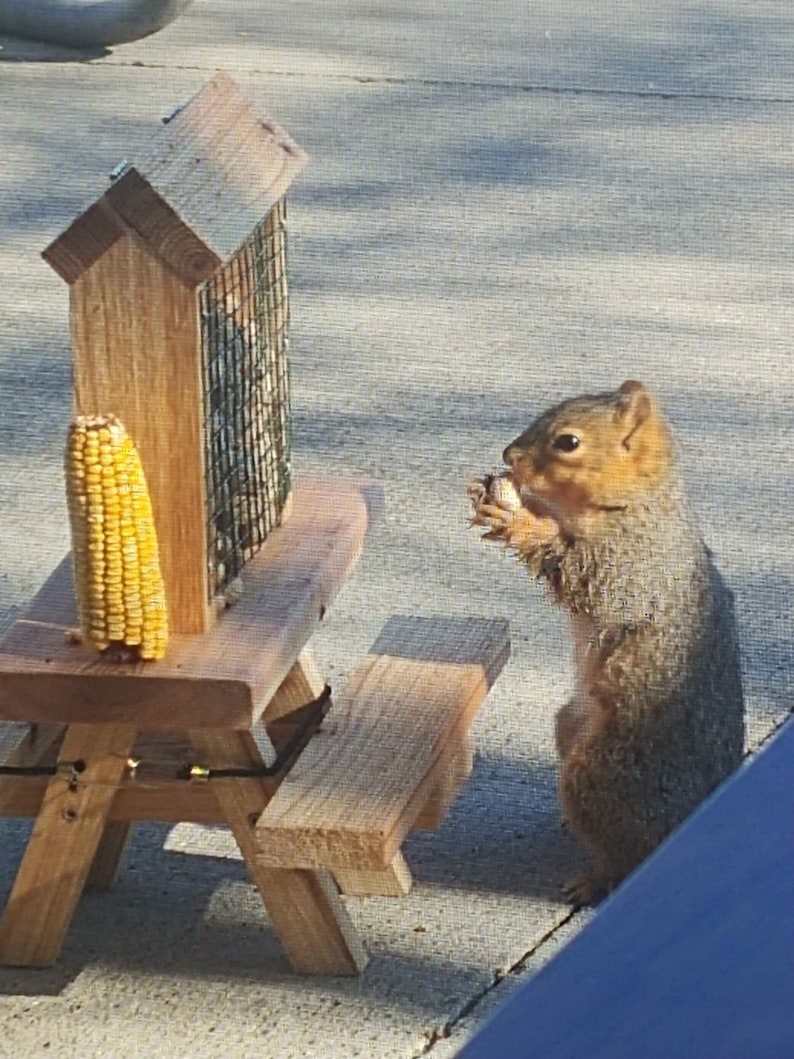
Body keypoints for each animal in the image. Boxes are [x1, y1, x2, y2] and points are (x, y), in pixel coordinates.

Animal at [468, 380, 744, 906]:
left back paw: (595, 878)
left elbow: (586, 579)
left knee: (625, 854)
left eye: (568, 442)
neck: (637, 499)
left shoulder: (630, 561)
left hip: (604, 777)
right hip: (570, 724)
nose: (509, 455)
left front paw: (519, 520)